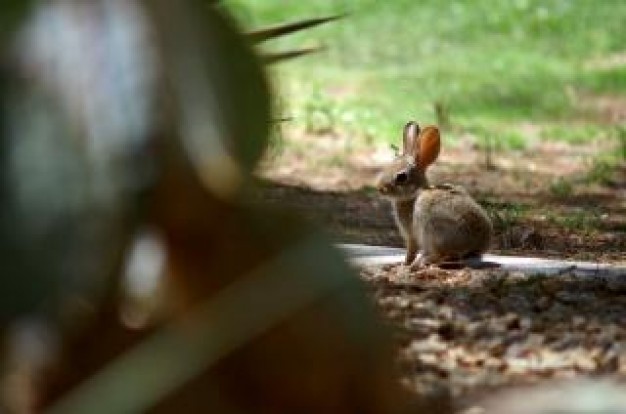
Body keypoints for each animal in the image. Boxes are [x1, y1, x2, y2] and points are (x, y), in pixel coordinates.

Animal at [376, 121, 492, 268]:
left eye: (401, 177)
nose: (380, 188)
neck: (414, 193)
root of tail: (474, 247)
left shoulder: (412, 236)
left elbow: (411, 251)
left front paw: (404, 264)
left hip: (433, 228)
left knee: (444, 255)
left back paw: (423, 262)